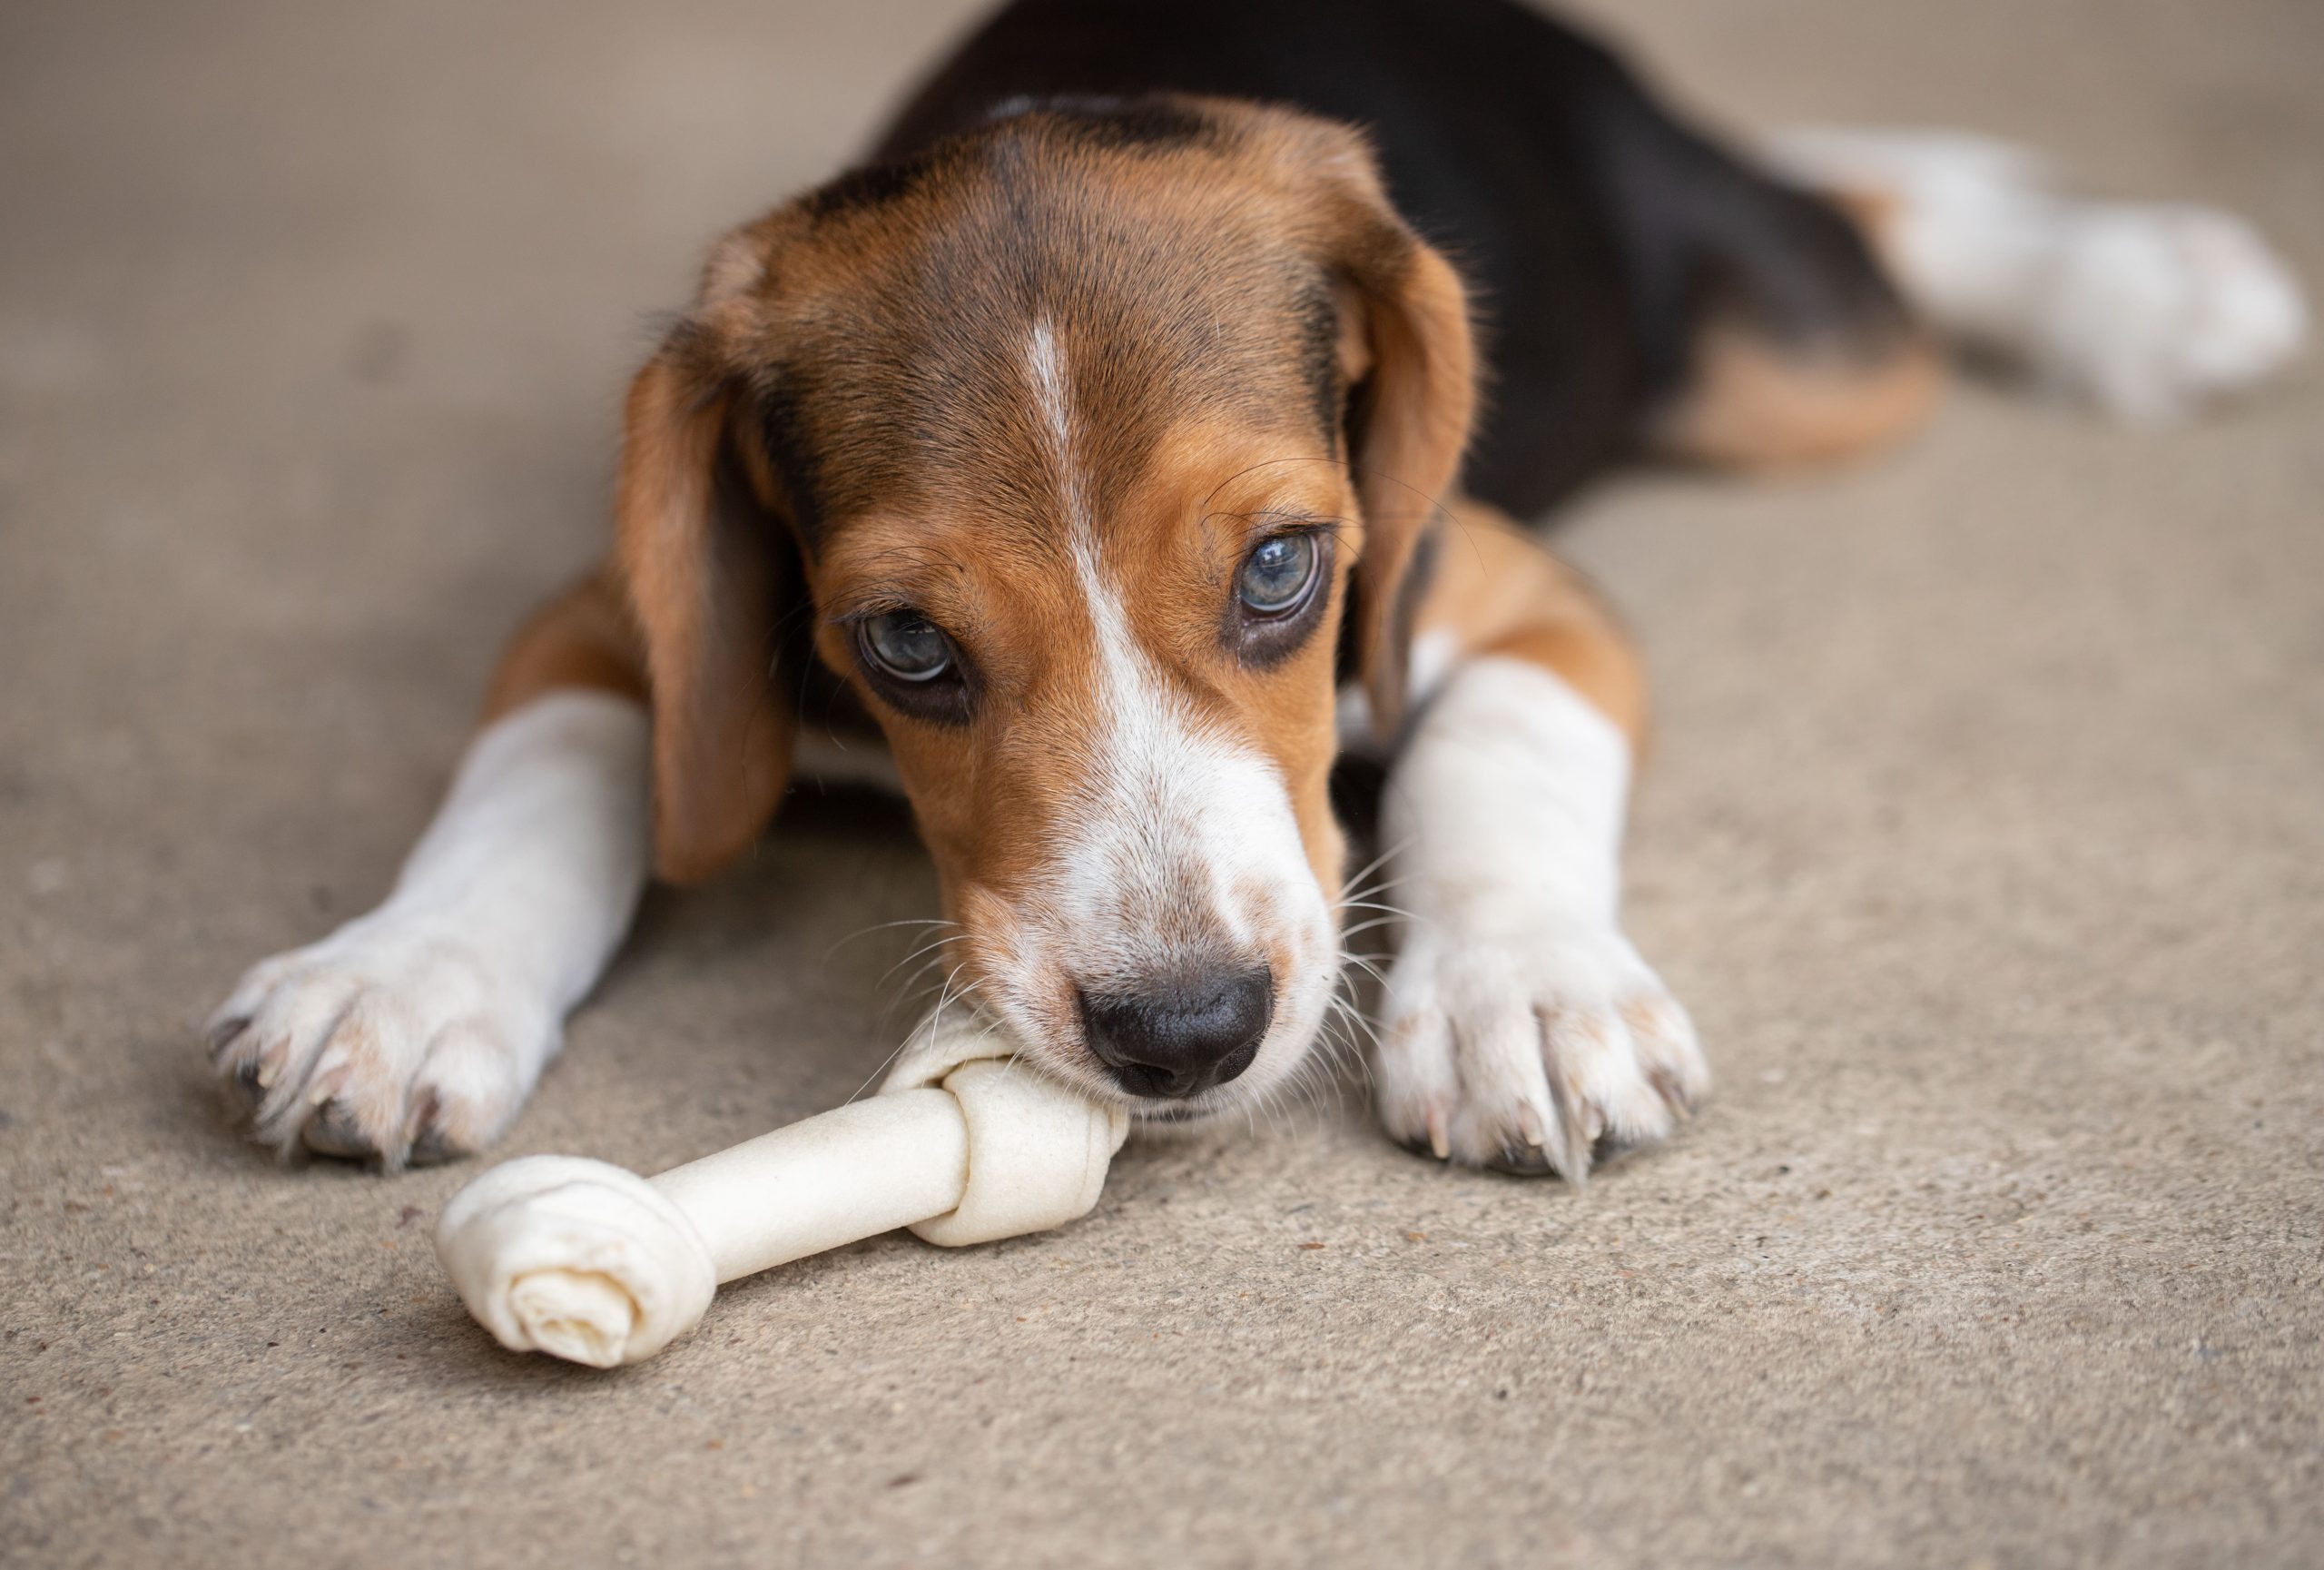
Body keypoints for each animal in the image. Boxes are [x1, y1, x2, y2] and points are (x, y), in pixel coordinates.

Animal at [204, 0, 2305, 1181]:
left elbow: (1491, 763)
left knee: (1849, 216)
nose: (1184, 1031)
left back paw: (2137, 286)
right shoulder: (620, 615)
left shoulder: (1524, 605)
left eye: (1287, 566)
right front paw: (396, 978)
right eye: (903, 645)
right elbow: (536, 779)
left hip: (1791, 366)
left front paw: (1528, 994)